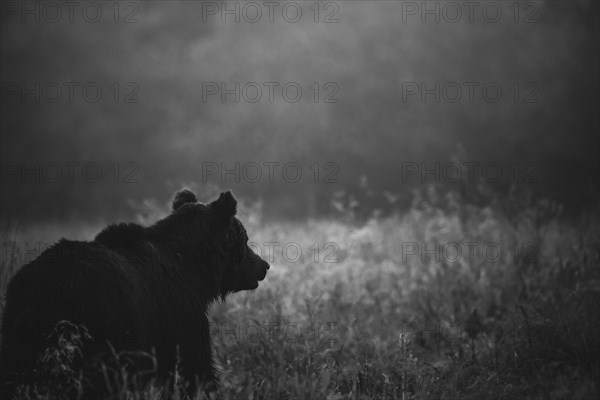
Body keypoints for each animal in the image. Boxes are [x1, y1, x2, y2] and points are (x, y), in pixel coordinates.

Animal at [0, 189, 268, 398]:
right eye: (244, 238)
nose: (263, 265)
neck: (195, 271)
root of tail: (51, 286)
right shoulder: (179, 313)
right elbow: (193, 365)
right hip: (103, 325)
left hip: (24, 329)